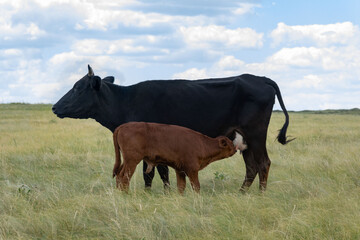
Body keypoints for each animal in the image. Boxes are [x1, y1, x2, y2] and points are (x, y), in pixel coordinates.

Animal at [52, 65, 292, 191]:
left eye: (78, 88)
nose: (54, 107)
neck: (126, 100)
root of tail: (260, 78)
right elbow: (157, 173)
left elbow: (154, 173)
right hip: (243, 138)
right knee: (251, 166)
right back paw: (242, 193)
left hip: (256, 134)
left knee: (263, 163)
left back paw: (259, 194)